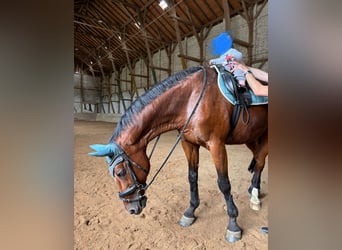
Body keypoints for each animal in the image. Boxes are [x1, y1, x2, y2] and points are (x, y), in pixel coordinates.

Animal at [89, 65, 268, 242]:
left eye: (120, 172)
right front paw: (190, 211)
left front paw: (233, 224)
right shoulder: (188, 143)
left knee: (260, 162)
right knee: (258, 161)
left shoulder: (216, 145)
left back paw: (255, 196)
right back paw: (254, 189)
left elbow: (224, 183)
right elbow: (192, 177)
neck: (191, 100)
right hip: (251, 138)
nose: (131, 209)